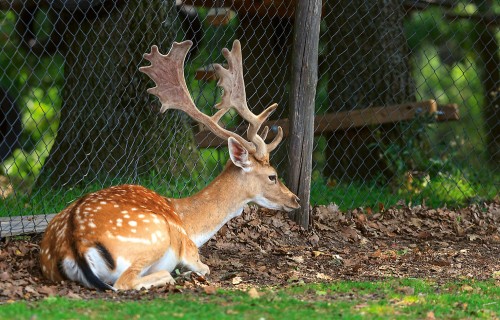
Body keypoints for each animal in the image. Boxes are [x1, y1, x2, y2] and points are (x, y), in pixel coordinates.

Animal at [40, 39, 300, 290]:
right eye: (272, 176)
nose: (295, 199)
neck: (189, 223)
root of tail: (75, 244)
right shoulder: (191, 250)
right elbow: (204, 267)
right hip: (155, 236)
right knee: (125, 282)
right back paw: (173, 276)